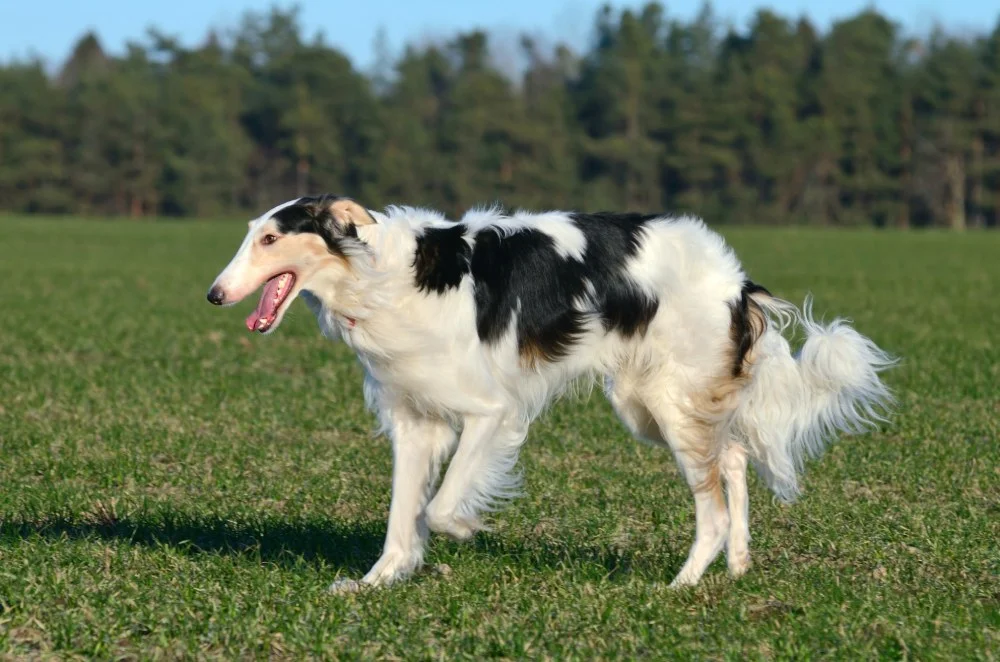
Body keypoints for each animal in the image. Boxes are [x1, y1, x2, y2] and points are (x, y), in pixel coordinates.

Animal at [207, 196, 896, 592]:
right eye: (251, 235)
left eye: (271, 239)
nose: (214, 295)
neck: (386, 277)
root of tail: (737, 280)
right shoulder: (414, 420)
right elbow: (402, 518)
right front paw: (379, 580)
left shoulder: (491, 412)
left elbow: (439, 508)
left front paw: (467, 529)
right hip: (658, 406)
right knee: (732, 460)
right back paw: (738, 565)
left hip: (667, 404)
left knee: (715, 506)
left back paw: (682, 584)